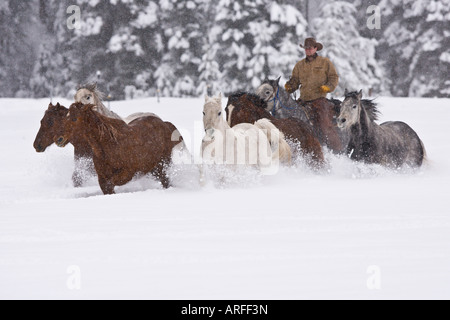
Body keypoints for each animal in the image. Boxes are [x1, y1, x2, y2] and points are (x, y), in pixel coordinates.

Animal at [55, 102, 185, 194]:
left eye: (74, 118)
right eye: (65, 117)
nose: (58, 138)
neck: (109, 145)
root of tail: (165, 124)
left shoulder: (127, 173)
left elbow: (111, 184)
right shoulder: (102, 177)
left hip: (163, 164)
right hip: (154, 169)